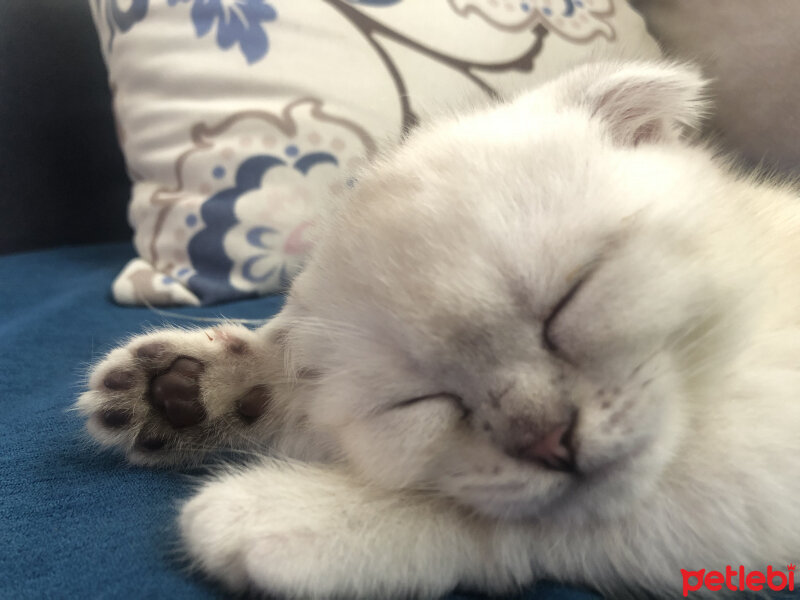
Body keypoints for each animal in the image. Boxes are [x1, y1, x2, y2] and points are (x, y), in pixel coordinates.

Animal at [75, 62, 800, 600]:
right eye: (420, 402)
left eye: (568, 301)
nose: (549, 442)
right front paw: (196, 392)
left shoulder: (759, 463)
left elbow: (541, 514)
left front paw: (288, 514)